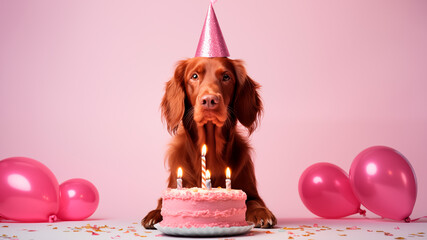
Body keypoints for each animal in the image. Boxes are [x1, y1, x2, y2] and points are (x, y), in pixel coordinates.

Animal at [142, 57, 278, 229]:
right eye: (194, 76)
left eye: (226, 77)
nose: (209, 100)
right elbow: (161, 204)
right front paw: (154, 214)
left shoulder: (253, 193)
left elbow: (253, 202)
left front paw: (261, 213)